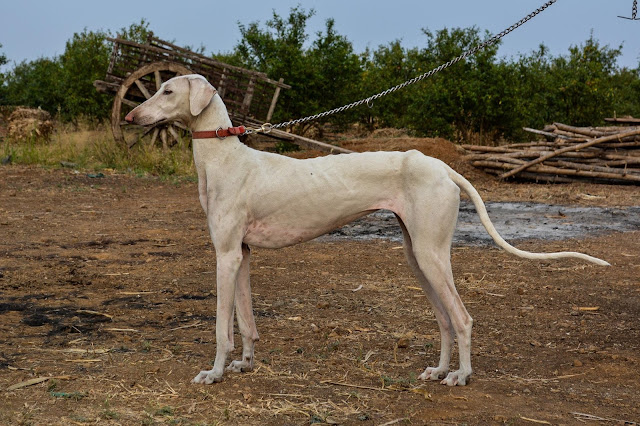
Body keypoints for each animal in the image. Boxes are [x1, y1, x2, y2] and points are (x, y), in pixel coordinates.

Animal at [126, 73, 608, 386]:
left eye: (167, 90)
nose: (130, 117)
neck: (224, 157)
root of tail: (444, 167)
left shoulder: (224, 256)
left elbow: (221, 327)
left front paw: (214, 373)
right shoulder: (240, 255)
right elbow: (246, 322)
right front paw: (244, 364)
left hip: (431, 255)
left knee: (463, 318)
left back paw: (462, 376)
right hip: (417, 256)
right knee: (445, 319)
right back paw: (440, 370)